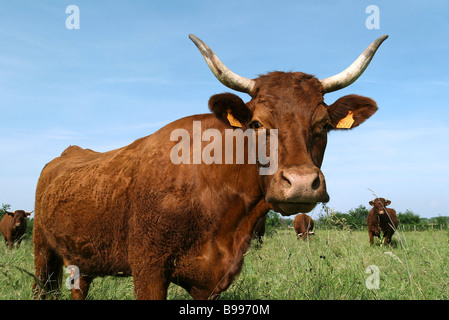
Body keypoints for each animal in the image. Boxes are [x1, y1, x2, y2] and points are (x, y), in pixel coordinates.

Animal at [33, 33, 386, 298]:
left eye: (324, 125)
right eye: (256, 124)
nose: (300, 183)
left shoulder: (213, 280)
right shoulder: (148, 269)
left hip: (81, 260)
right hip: (42, 253)